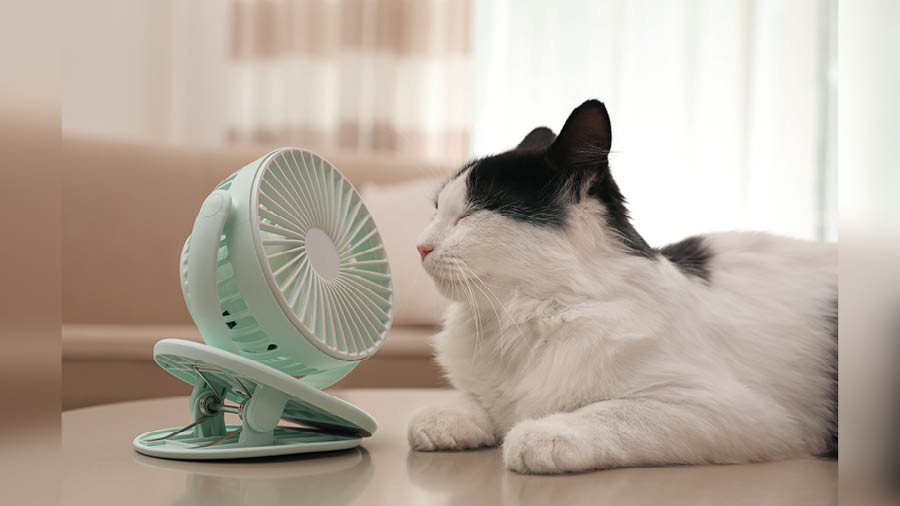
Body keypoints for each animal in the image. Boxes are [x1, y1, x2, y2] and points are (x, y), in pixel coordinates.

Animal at [406, 100, 836, 474]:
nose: (420, 246)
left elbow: (612, 412)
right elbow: (475, 402)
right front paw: (448, 419)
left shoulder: (728, 410)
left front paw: (544, 433)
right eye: (437, 211)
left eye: (471, 214)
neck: (522, 319)